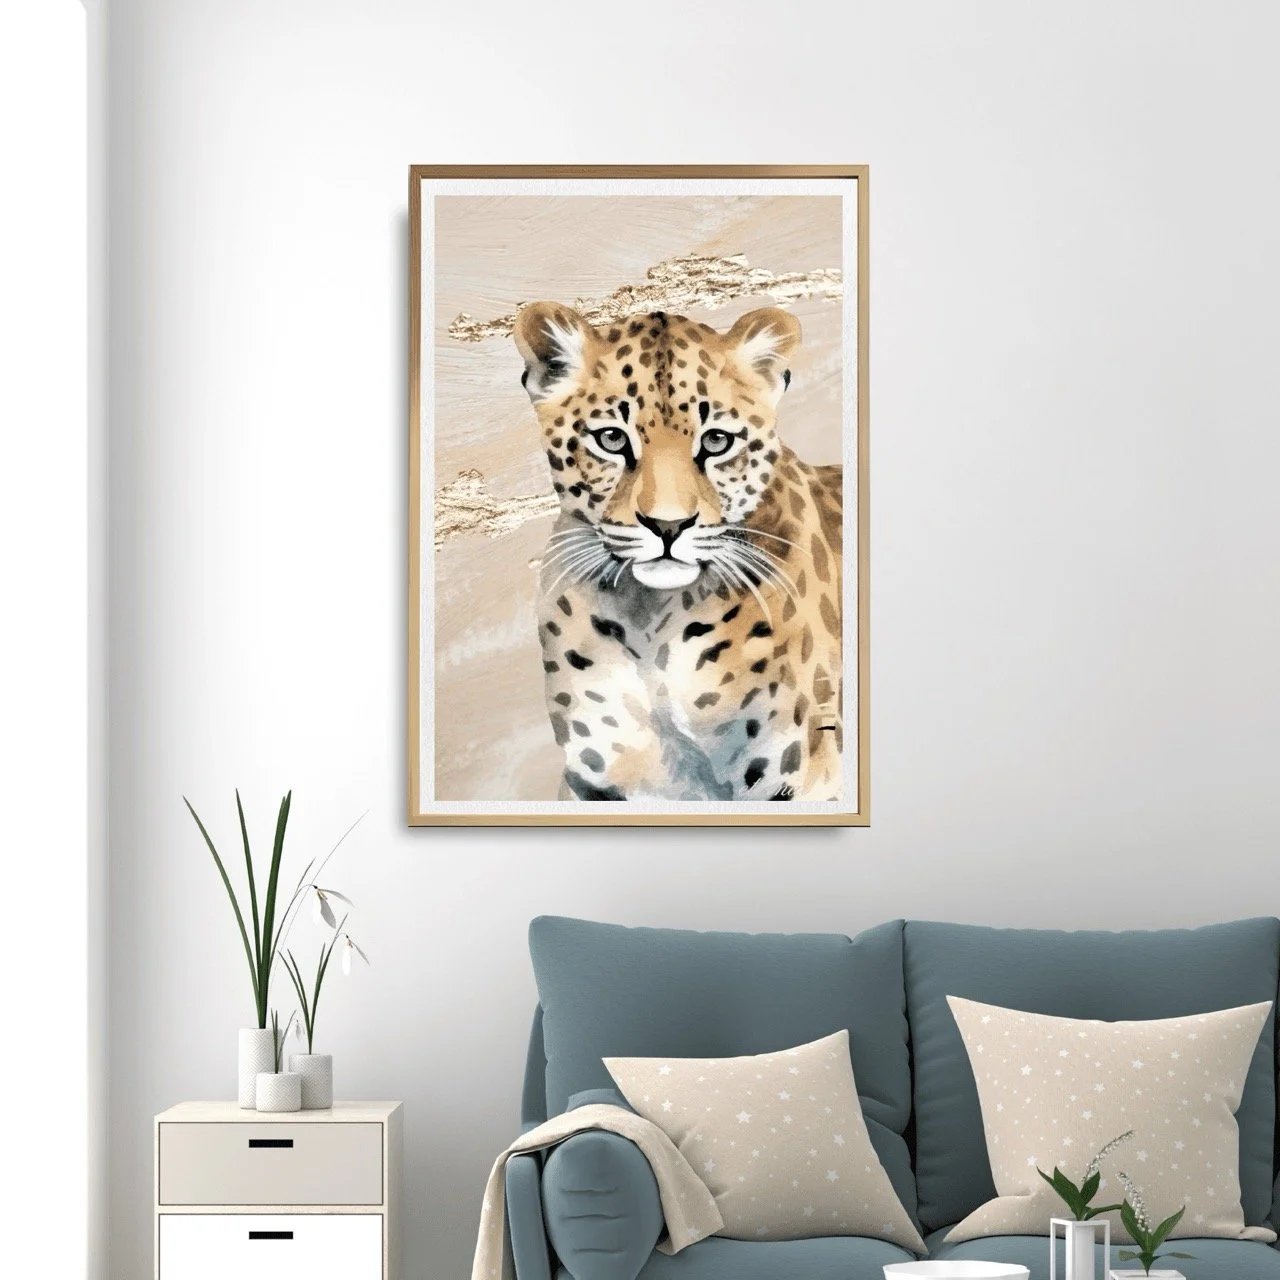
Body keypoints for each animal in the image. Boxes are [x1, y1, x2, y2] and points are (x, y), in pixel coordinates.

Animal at [512, 301, 843, 803]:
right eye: (611, 439)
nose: (668, 526)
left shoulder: (800, 777)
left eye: (716, 441)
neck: (648, 625)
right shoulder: (598, 784)